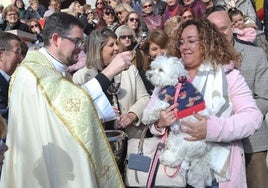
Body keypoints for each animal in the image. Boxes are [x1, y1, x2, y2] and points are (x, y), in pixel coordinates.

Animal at [141, 56, 229, 188]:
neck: (175, 82)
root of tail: (203, 151)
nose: (149, 74)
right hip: (176, 137)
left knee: (178, 157)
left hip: (184, 141)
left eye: (161, 70)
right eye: (153, 68)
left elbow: (154, 107)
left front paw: (145, 117)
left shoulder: (166, 99)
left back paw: (165, 157)